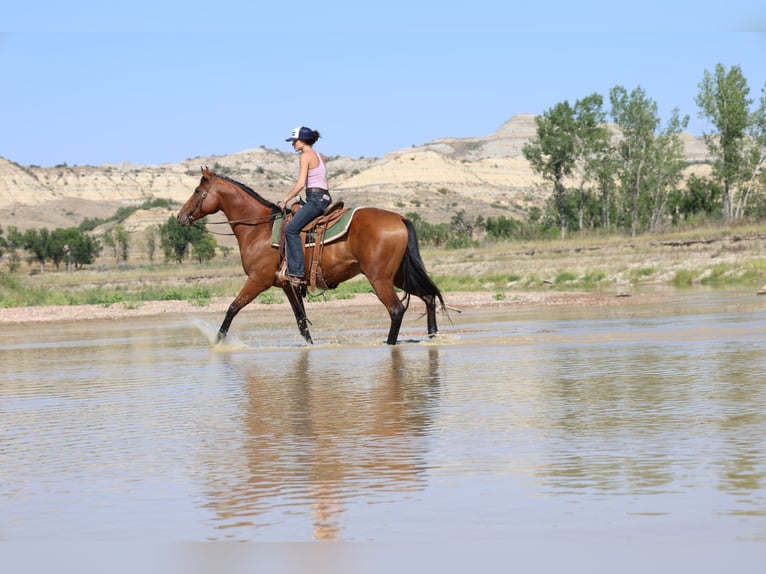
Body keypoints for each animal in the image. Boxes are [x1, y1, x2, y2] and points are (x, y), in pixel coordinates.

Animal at [176, 167, 446, 345]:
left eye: (197, 190)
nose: (180, 217)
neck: (259, 229)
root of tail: (400, 218)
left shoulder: (258, 280)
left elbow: (232, 308)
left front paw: (216, 344)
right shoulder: (287, 284)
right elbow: (301, 320)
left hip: (380, 279)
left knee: (396, 310)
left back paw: (390, 344)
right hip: (398, 275)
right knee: (428, 297)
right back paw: (433, 336)